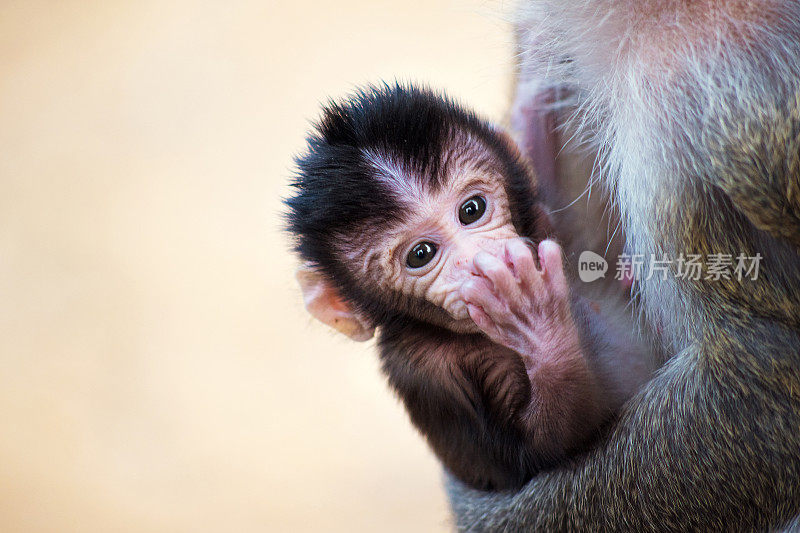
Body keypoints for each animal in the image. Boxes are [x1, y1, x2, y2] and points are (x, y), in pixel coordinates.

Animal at [284, 84, 652, 490]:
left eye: (471, 210)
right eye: (420, 254)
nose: (485, 260)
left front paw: (534, 113)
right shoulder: (425, 370)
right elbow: (540, 454)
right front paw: (533, 318)